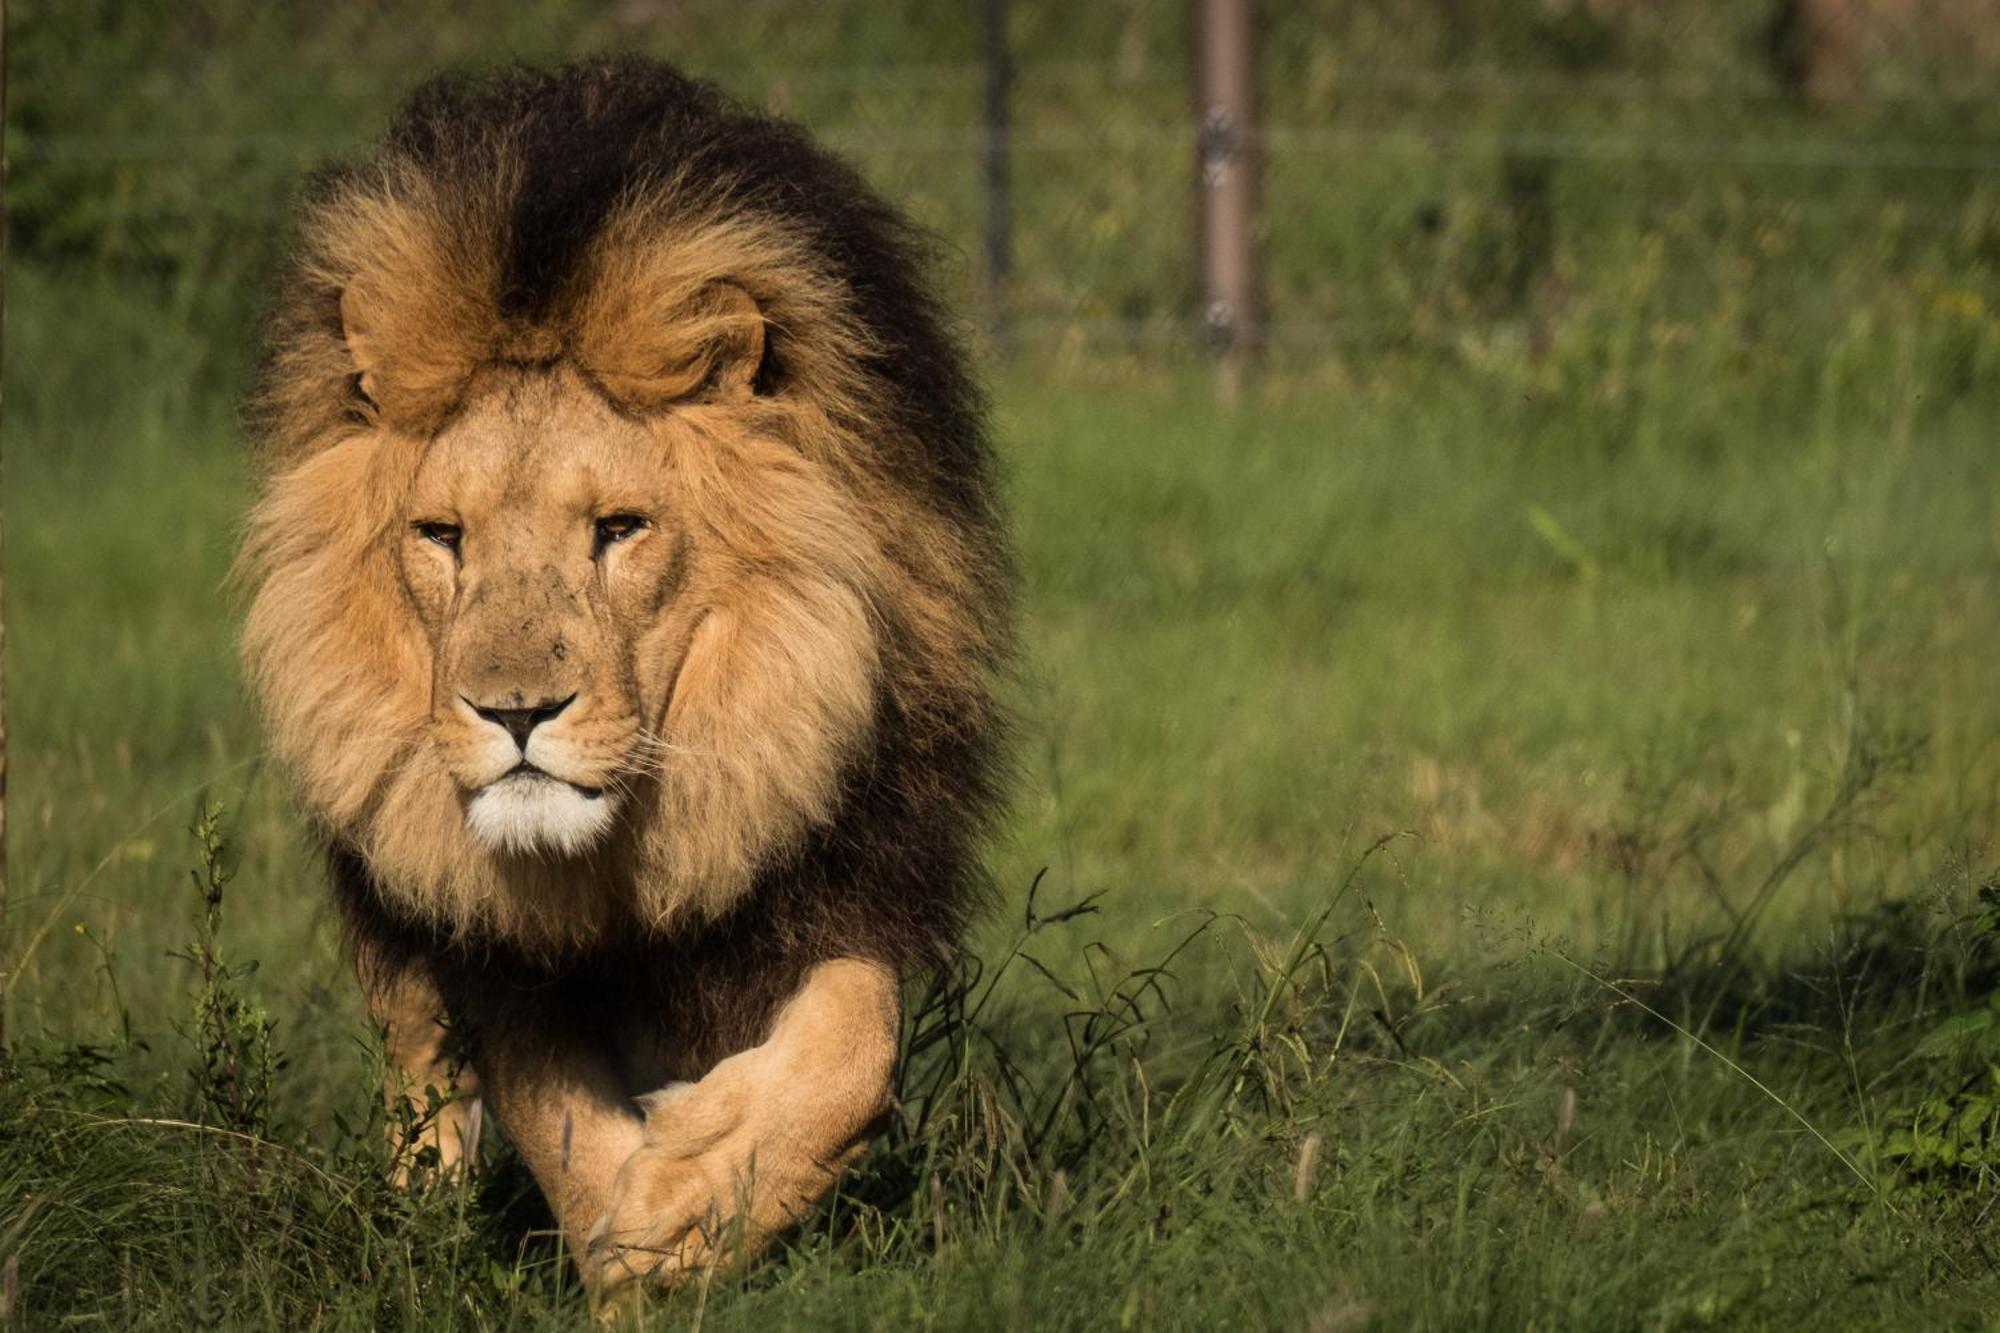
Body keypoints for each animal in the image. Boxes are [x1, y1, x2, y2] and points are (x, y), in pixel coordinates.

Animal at [236, 57, 1008, 1288]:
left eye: (618, 528)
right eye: (442, 535)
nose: (514, 712)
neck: (621, 856)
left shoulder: (849, 868)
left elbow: (858, 1050)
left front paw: (696, 1198)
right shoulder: (491, 943)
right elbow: (551, 1114)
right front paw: (648, 1237)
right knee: (417, 1063)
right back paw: (421, 1212)